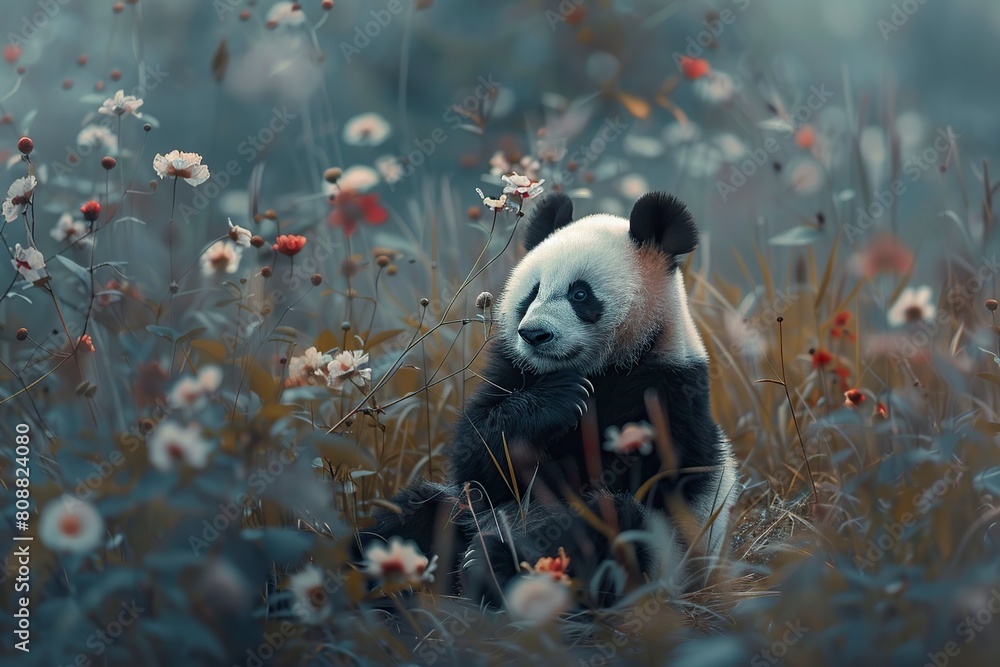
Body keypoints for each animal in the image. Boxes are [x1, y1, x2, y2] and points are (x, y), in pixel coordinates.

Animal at [357, 191, 739, 607]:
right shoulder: (509, 373)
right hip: (458, 514)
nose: (534, 335)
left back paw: (492, 567)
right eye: (532, 293)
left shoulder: (667, 392)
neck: (603, 367)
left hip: (666, 559)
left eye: (580, 293)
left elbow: (652, 478)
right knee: (411, 512)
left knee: (615, 526)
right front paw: (556, 402)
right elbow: (480, 464)